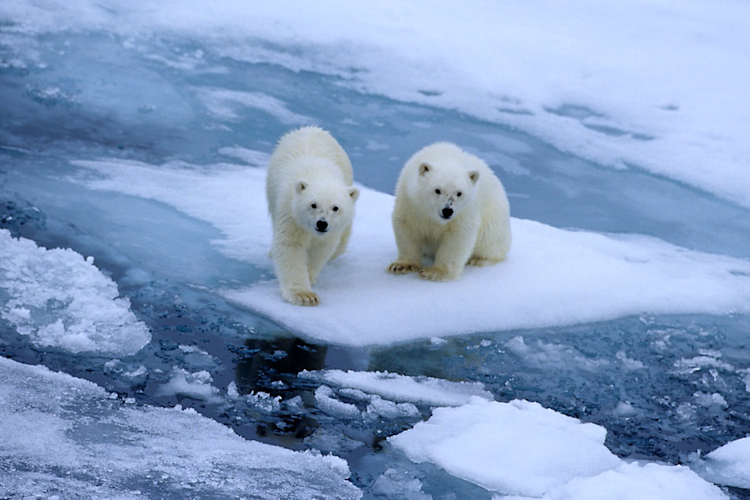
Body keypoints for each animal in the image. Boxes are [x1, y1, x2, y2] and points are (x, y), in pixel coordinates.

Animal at [266, 126, 359, 306]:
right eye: (313, 205)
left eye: (335, 208)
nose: (322, 223)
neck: (320, 174)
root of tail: (310, 128)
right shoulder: (291, 212)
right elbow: (290, 245)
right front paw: (304, 295)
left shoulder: (331, 231)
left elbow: (322, 247)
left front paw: (309, 276)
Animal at [387, 142, 511, 281]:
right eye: (437, 190)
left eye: (459, 193)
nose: (447, 211)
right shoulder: (410, 201)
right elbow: (407, 227)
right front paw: (401, 266)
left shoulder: (465, 211)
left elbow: (457, 236)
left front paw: (434, 272)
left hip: (494, 223)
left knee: (490, 244)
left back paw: (478, 260)